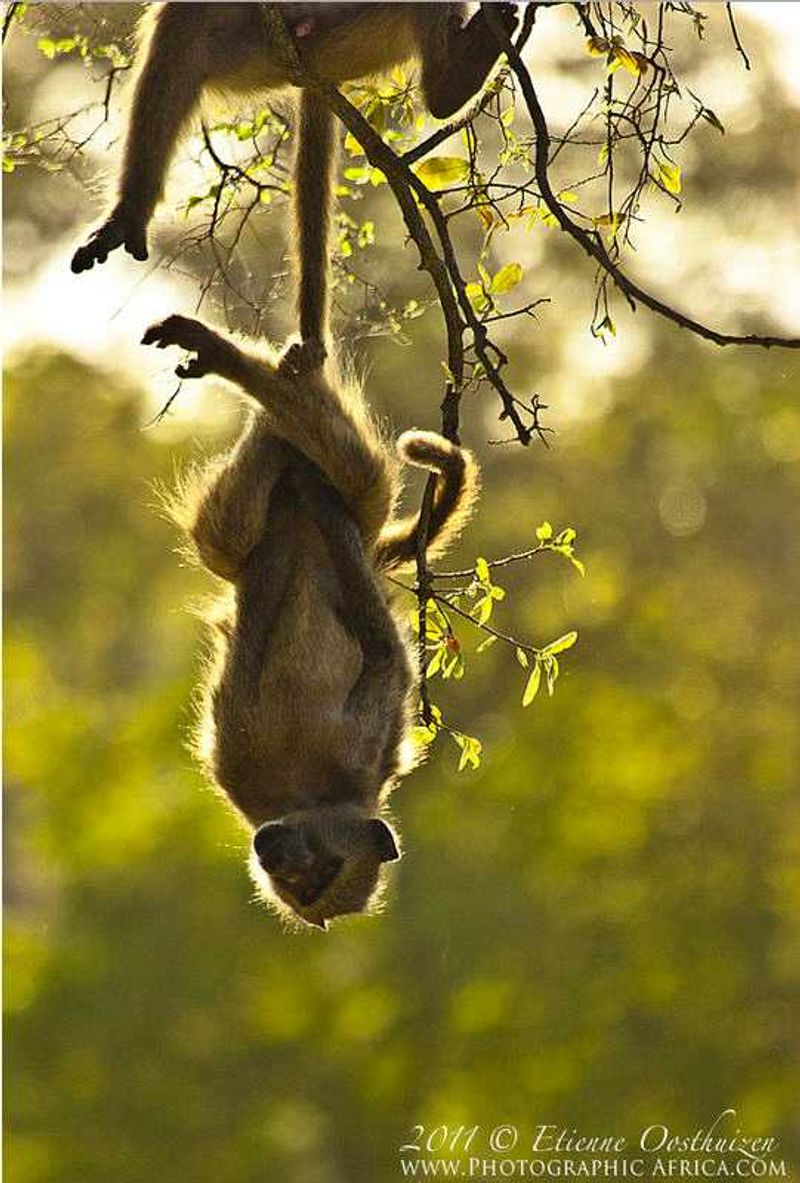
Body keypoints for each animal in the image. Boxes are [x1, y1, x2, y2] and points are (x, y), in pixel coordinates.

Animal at [142, 312, 479, 928]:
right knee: (318, 464)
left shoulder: (279, 760)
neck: (309, 794)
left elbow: (381, 657)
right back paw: (245, 371)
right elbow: (383, 655)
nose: (278, 856)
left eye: (314, 878)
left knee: (247, 522)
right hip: (356, 489)